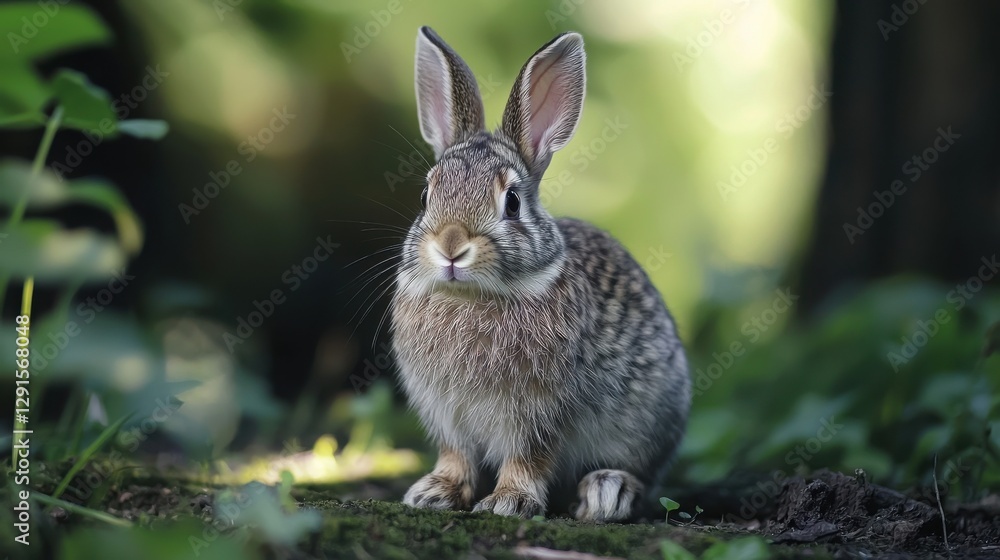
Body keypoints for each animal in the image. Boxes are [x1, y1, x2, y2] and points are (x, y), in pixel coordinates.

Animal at [390, 26, 691, 522]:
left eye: (512, 202)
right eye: (425, 196)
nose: (451, 246)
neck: (471, 297)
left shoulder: (541, 415)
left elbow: (528, 459)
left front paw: (508, 501)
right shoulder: (447, 415)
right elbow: (455, 456)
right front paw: (433, 493)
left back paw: (606, 493)